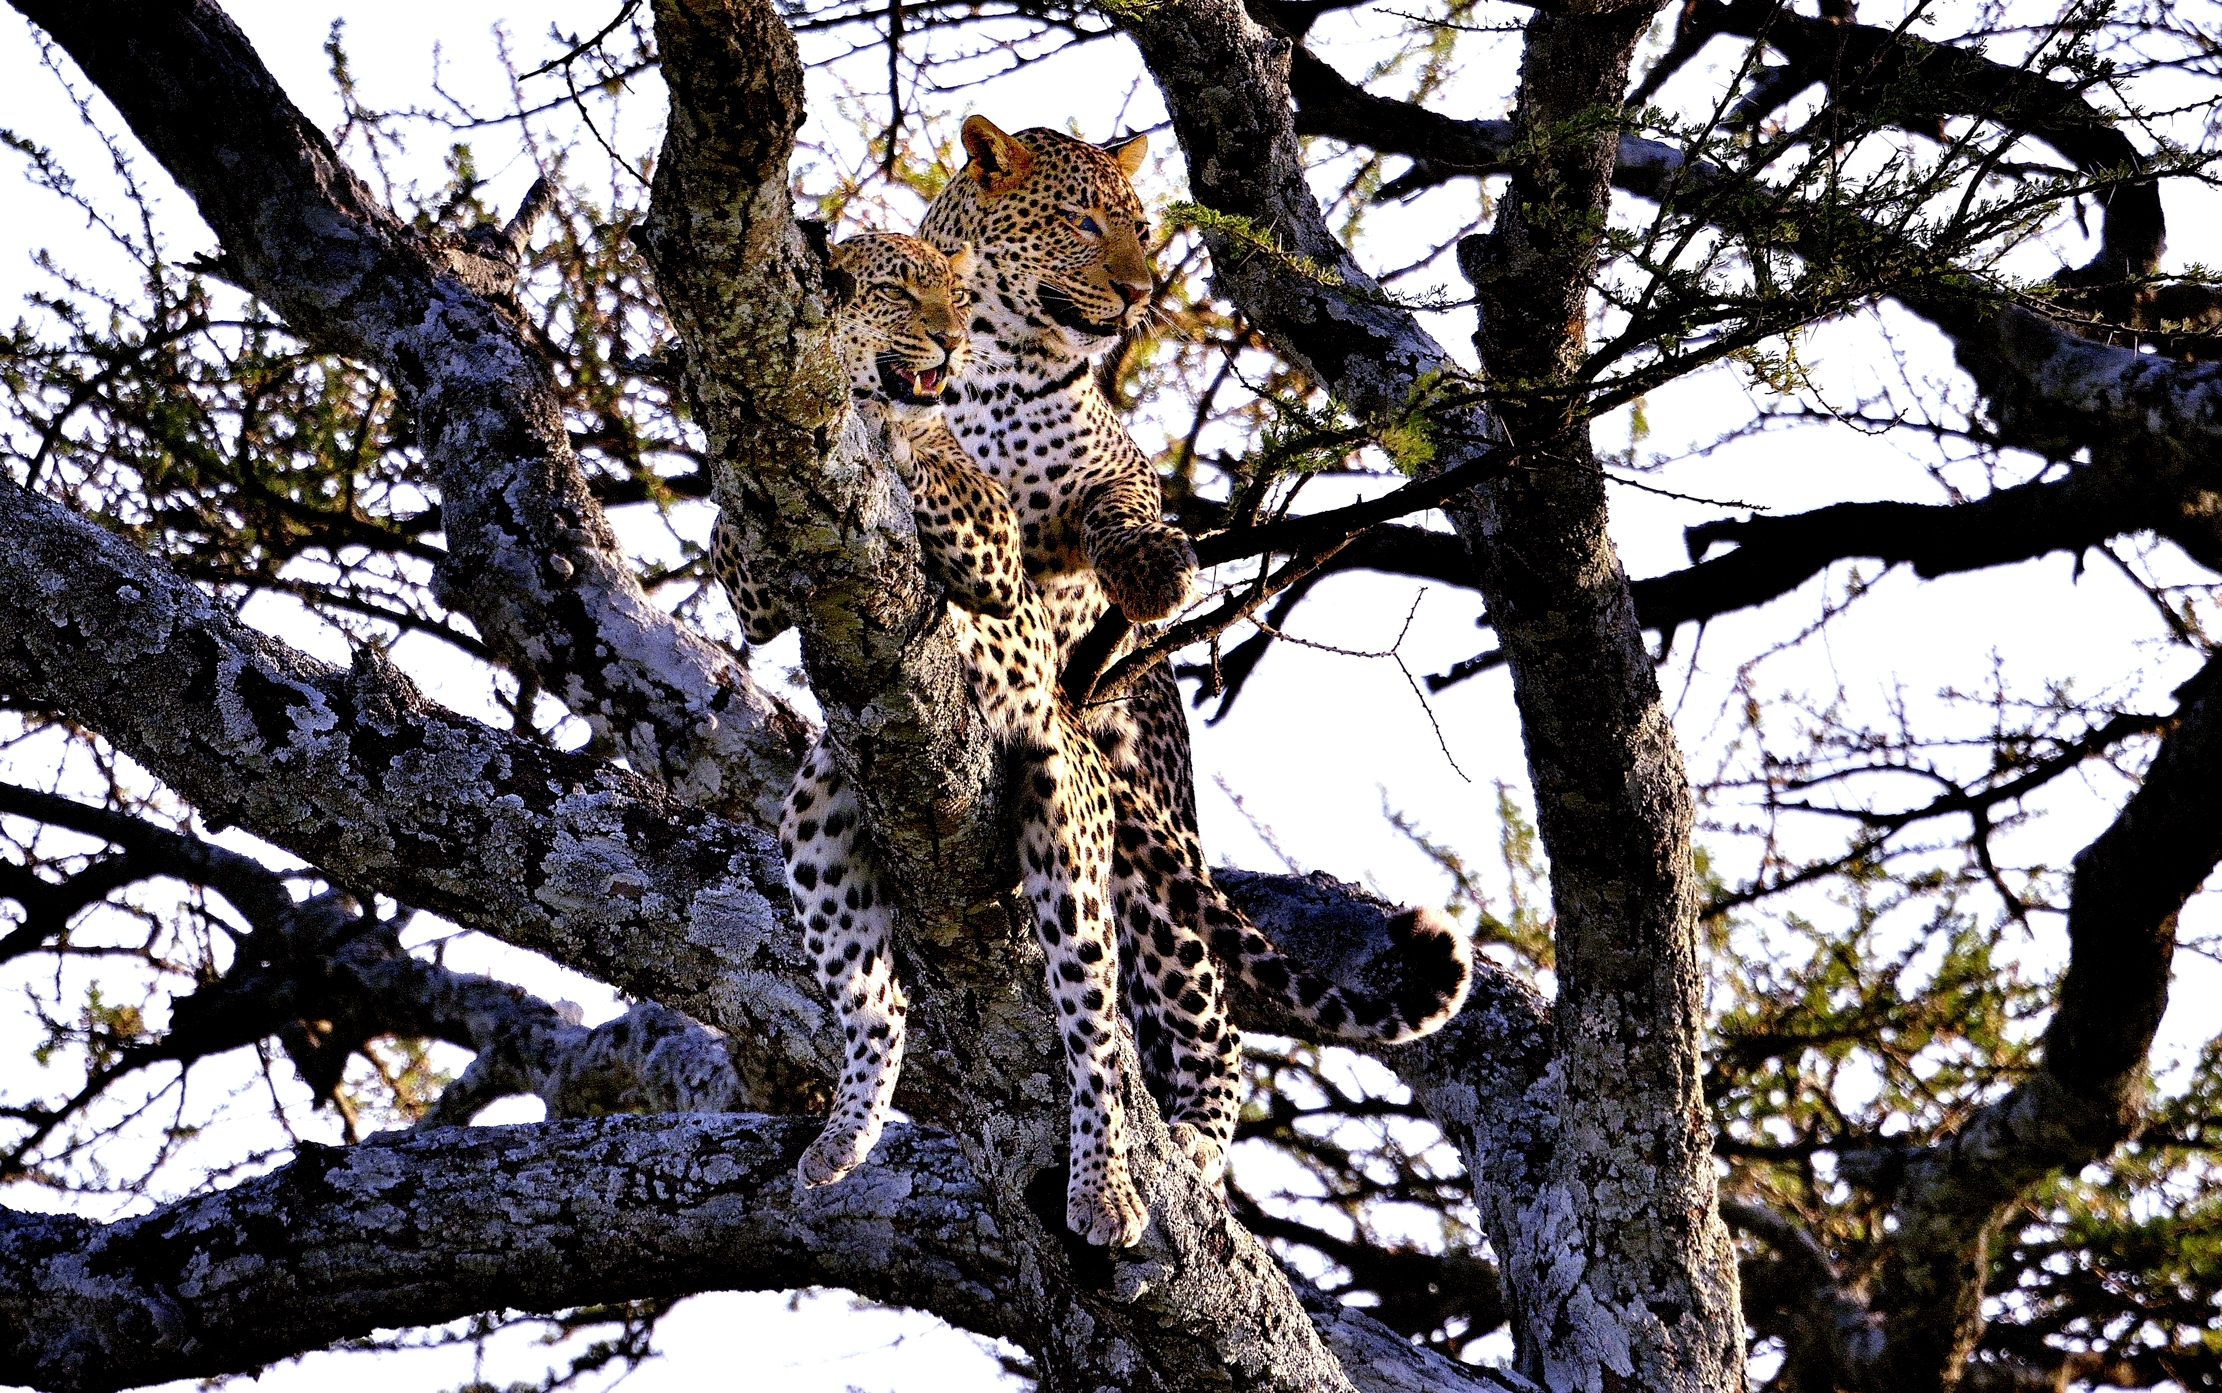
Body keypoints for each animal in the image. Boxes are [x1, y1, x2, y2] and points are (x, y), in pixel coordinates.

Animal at [714, 232, 1146, 1248]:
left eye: (955, 292)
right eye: (900, 290)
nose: (949, 341)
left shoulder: (991, 538)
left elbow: (937, 477)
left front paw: (896, 434)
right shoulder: (761, 590)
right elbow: (734, 550)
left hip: (1065, 820)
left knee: (1095, 1041)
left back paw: (1104, 1190)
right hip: (818, 819)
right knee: (882, 1006)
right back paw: (842, 1137)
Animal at [919, 117, 1477, 1183]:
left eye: (1141, 228)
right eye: (1081, 223)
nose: (1140, 293)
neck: (1005, 362)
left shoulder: (1109, 473)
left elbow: (1123, 512)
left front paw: (1153, 572)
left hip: (1158, 866)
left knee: (1210, 1019)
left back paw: (1192, 1146)